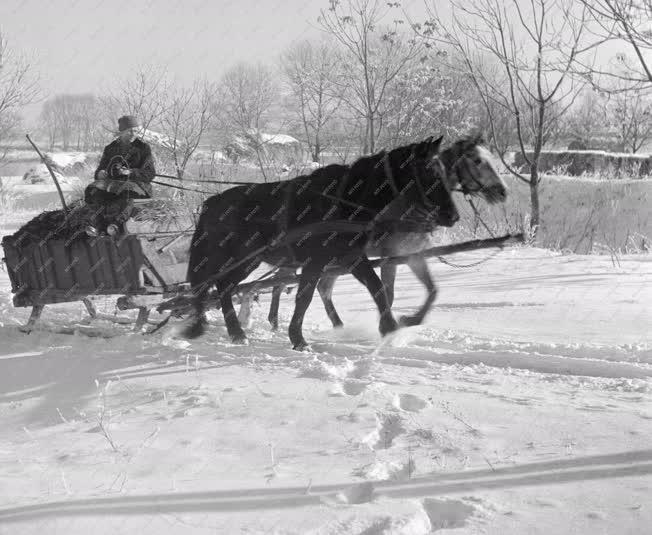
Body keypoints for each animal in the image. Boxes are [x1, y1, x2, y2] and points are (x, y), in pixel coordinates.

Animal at [183, 136, 458, 350]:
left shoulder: (352, 257)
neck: (343, 201)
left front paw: (389, 328)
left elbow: (377, 288)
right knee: (221, 286)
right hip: (237, 258)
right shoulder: (315, 261)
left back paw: (235, 331)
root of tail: (211, 203)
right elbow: (304, 298)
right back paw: (233, 331)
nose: (453, 216)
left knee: (224, 286)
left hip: (247, 261)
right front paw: (298, 339)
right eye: (430, 172)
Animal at [264, 135, 510, 330]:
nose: (503, 192)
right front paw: (387, 323)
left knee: (313, 286)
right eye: (478, 160)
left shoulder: (412, 254)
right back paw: (277, 320)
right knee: (285, 282)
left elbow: (432, 290)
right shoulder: (390, 256)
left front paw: (410, 320)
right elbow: (387, 293)